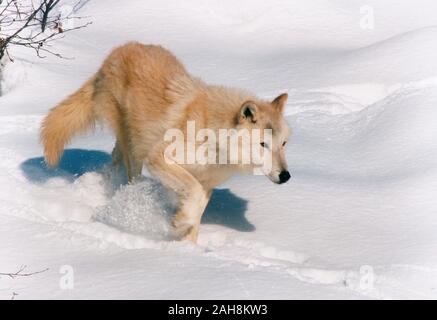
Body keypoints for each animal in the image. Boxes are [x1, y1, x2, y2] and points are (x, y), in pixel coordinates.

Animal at [41, 42, 292, 242]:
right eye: (263, 144)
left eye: (283, 144)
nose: (286, 176)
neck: (212, 134)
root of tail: (119, 50)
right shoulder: (161, 158)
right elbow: (192, 194)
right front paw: (179, 223)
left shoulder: (206, 183)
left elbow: (197, 212)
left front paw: (188, 248)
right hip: (136, 150)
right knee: (131, 175)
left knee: (114, 160)